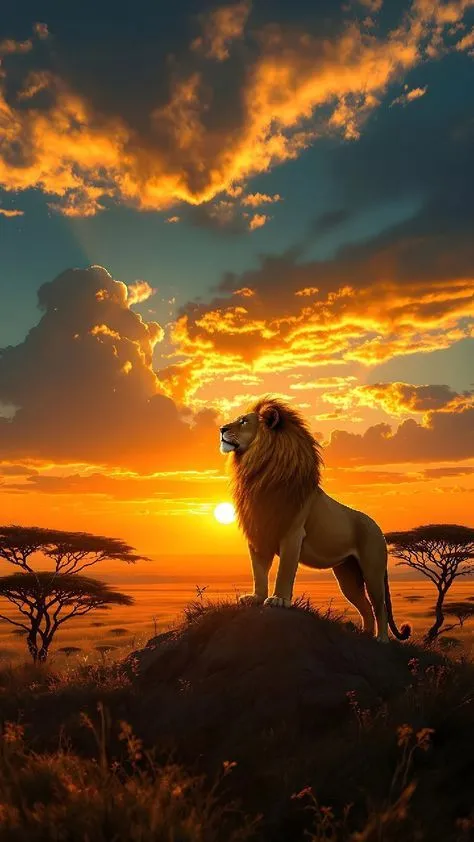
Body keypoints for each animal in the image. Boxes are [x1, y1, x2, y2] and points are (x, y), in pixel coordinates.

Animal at [219, 396, 410, 643]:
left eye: (243, 421)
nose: (221, 429)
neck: (258, 472)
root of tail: (378, 528)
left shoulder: (293, 534)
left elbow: (284, 571)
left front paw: (278, 600)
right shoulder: (258, 533)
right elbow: (258, 571)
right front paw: (256, 597)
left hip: (373, 570)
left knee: (380, 606)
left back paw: (381, 640)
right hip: (348, 576)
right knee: (365, 606)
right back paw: (365, 635)